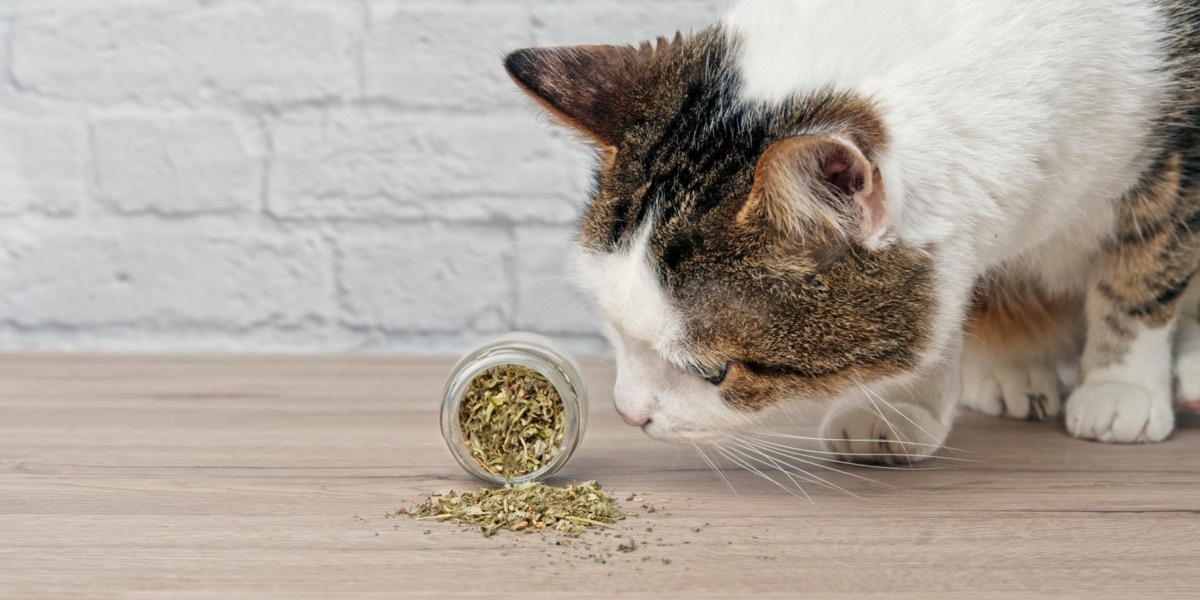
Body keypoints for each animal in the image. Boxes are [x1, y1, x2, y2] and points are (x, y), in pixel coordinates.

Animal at [499, 0, 1200, 463]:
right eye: (611, 328)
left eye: (714, 370)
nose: (627, 414)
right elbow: (945, 301)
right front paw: (900, 406)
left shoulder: (1176, 152)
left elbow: (1145, 273)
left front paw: (1119, 387)